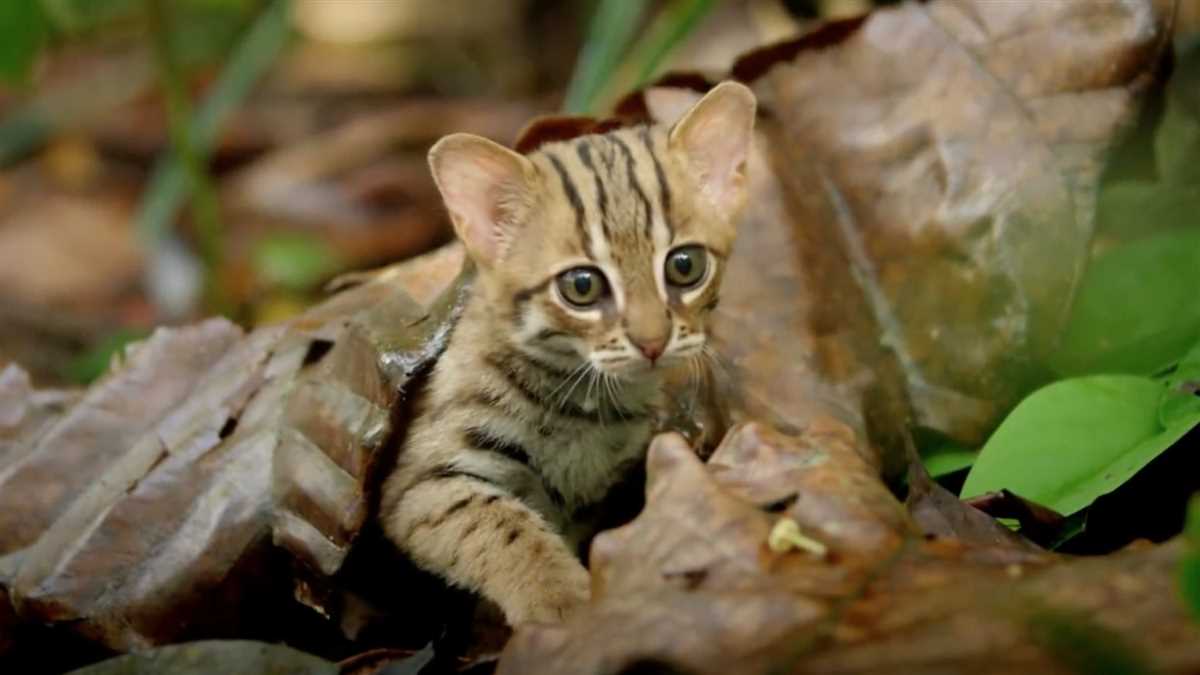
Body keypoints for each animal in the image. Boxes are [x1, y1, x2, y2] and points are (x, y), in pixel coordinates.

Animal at [381, 81, 758, 624]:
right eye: (582, 286)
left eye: (685, 265)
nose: (652, 342)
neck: (582, 402)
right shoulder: (417, 486)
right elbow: (498, 523)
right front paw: (562, 602)